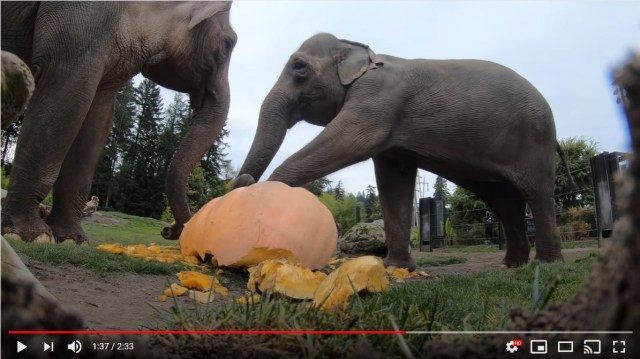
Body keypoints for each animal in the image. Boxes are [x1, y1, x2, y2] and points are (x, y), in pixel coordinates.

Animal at [0, 0, 238, 245]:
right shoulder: (80, 21)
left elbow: (98, 116)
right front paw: (28, 235)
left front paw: (72, 240)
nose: (167, 229)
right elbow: (64, 94)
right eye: (227, 44)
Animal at [235, 33, 568, 270]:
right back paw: (512, 265)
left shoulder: (377, 101)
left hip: (535, 140)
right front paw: (396, 268)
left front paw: (266, 192)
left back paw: (547, 265)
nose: (243, 181)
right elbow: (393, 180)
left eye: (299, 67)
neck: (359, 50)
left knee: (536, 194)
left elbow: (347, 142)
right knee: (503, 200)